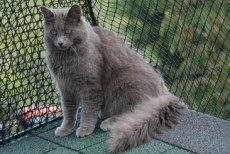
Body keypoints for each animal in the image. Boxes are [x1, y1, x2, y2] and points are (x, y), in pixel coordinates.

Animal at [39, 4, 187, 153]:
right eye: (53, 32)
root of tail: (165, 94)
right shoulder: (65, 88)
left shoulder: (90, 86)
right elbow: (68, 112)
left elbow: (88, 111)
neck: (65, 58)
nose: (60, 43)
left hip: (123, 83)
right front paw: (65, 129)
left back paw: (107, 122)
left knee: (133, 113)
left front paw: (85, 129)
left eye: (67, 31)